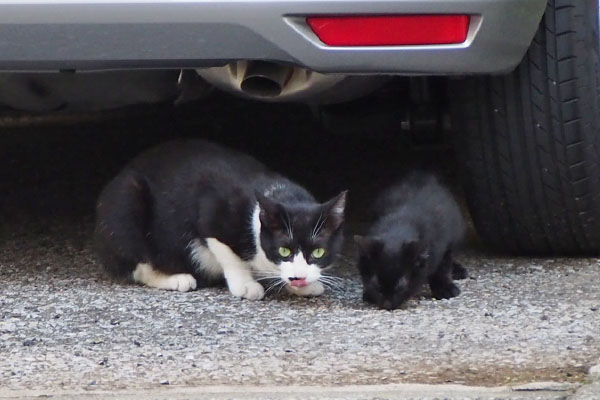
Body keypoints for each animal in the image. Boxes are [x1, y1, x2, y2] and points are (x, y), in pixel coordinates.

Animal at [94, 141, 346, 300]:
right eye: (284, 250)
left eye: (318, 253)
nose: (300, 278)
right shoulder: (210, 215)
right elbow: (229, 254)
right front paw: (245, 285)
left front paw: (301, 285)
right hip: (126, 203)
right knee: (138, 266)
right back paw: (176, 278)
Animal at [354, 172, 466, 310]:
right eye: (376, 285)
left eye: (400, 286)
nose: (387, 305)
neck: (399, 224)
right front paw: (368, 293)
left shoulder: (444, 244)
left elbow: (442, 268)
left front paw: (444, 288)